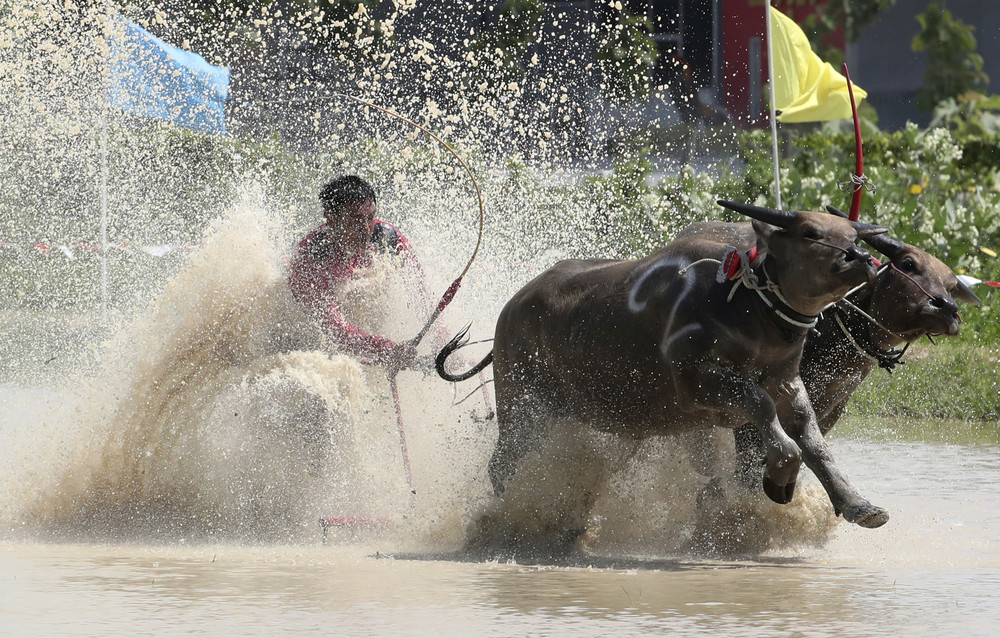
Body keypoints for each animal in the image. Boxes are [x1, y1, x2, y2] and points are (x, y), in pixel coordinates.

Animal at [442, 201, 896, 536]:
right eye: (810, 233)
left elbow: (812, 438)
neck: (744, 306)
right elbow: (763, 410)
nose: (862, 259)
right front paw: (780, 477)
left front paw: (858, 504)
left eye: (853, 235)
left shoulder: (787, 381)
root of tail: (511, 309)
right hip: (524, 408)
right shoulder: (697, 382)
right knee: (501, 464)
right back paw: (512, 517)